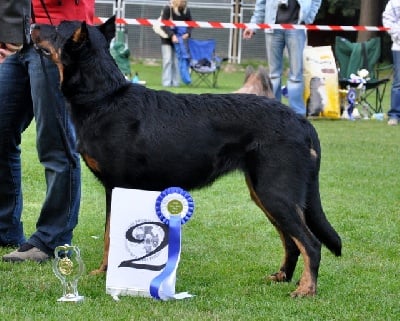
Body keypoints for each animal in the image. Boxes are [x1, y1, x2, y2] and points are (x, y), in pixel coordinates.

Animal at [31, 16, 340, 296]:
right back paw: (283, 277)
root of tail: (302, 122)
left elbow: (110, 235)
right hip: (265, 194)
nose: (32, 25)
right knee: (291, 242)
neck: (104, 98)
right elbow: (109, 235)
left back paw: (306, 289)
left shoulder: (116, 186)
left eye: (57, 28)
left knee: (310, 243)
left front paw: (107, 274)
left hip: (275, 193)